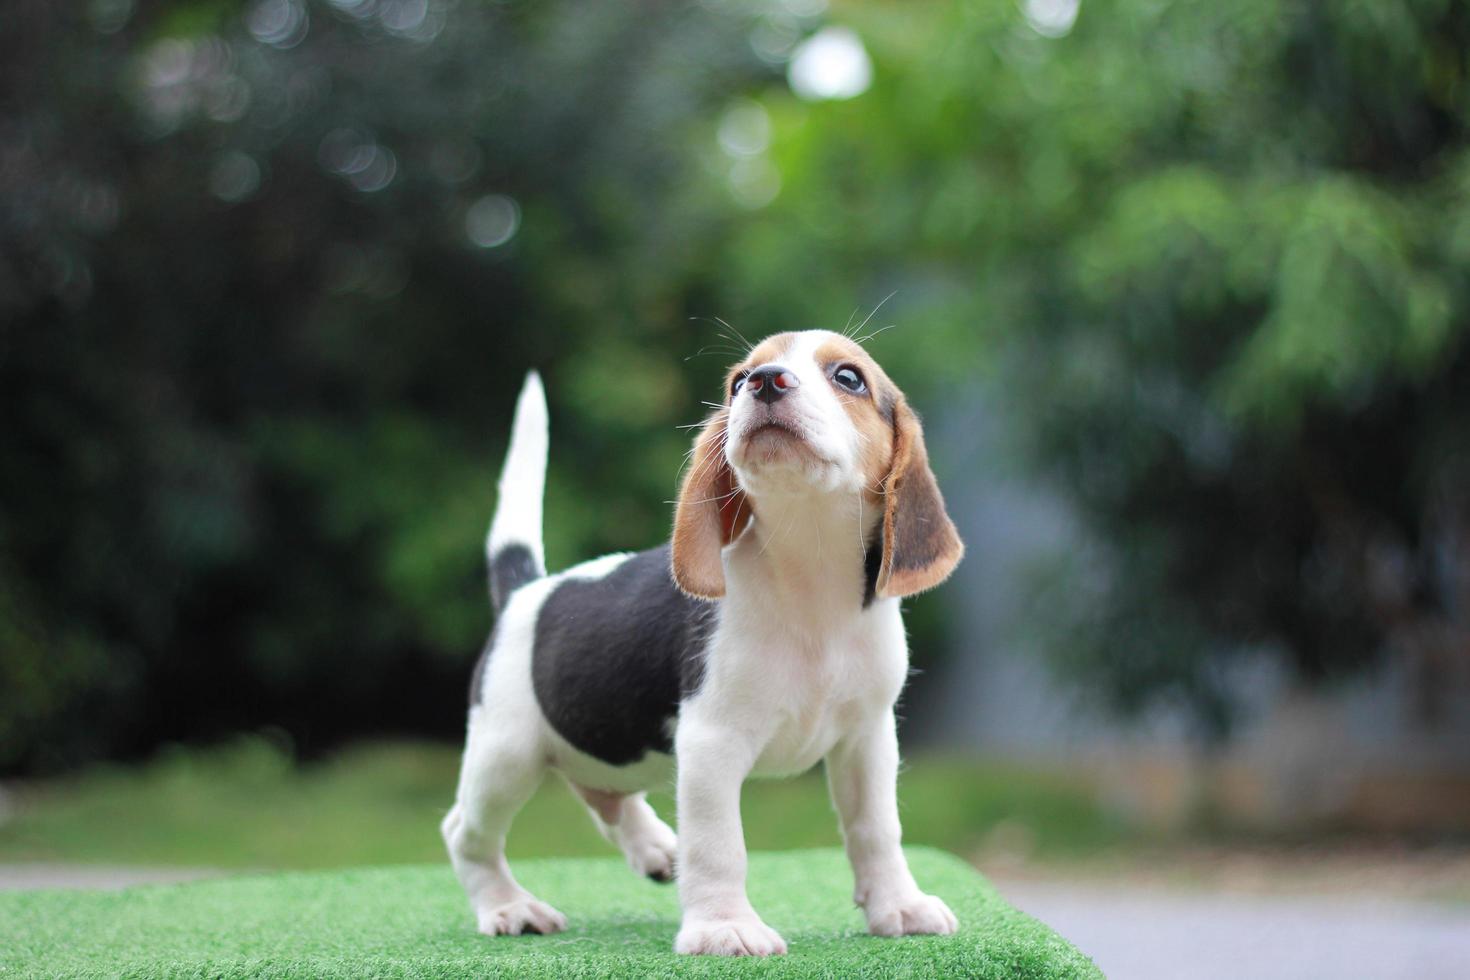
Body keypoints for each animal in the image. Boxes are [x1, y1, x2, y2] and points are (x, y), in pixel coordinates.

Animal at [443, 329, 964, 957]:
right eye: (737, 382)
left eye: (848, 377)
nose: (765, 382)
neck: (809, 579)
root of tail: (527, 591)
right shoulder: (712, 743)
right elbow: (719, 845)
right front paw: (723, 926)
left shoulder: (868, 738)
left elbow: (877, 829)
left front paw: (899, 905)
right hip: (506, 754)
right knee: (465, 832)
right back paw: (508, 905)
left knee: (601, 793)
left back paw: (652, 846)